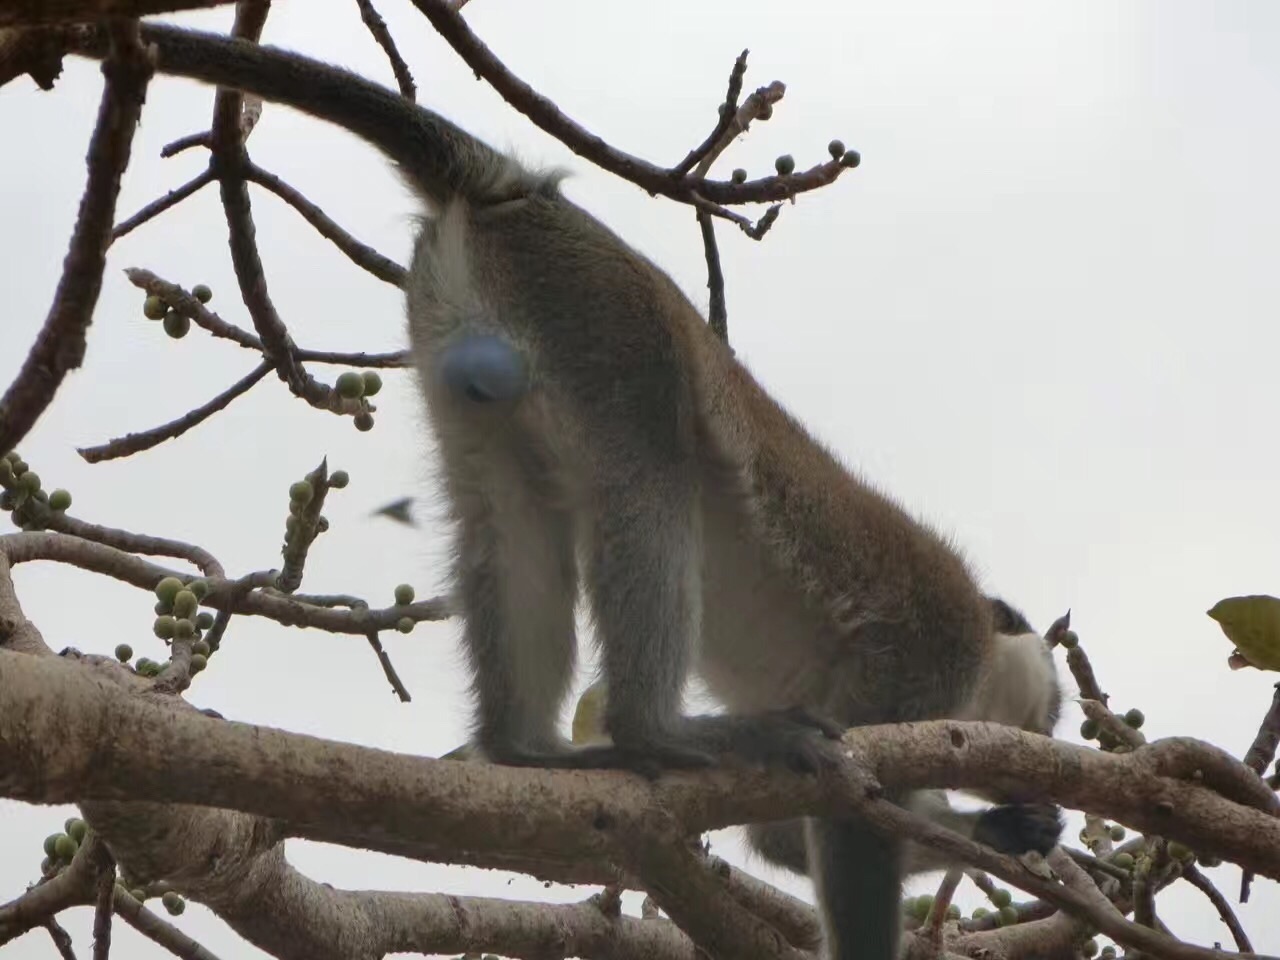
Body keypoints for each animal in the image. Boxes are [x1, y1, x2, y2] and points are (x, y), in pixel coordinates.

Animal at [70, 26, 1064, 957]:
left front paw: (1011, 829)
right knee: (651, 461)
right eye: (1050, 714)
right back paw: (655, 731)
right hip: (606, 316)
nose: (1047, 753)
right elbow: (837, 829)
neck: (982, 660)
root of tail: (518, 190)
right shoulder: (920, 659)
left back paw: (525, 751)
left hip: (474, 335)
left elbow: (784, 836)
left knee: (509, 511)